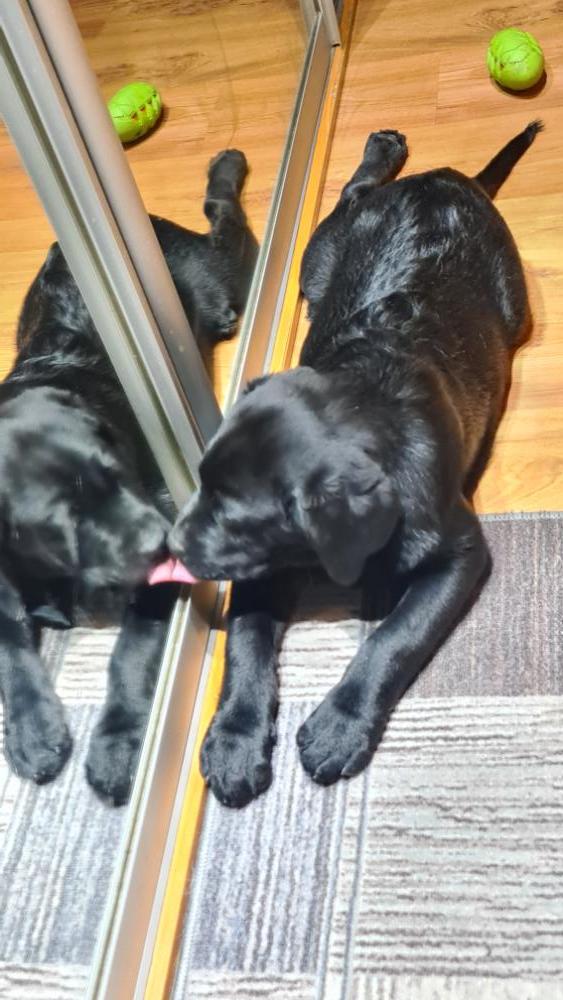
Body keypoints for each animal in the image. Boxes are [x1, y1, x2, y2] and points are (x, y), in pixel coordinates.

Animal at [0, 150, 257, 805]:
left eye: (116, 470)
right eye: (62, 522)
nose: (166, 541)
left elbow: (130, 655)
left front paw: (116, 749)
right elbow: (9, 641)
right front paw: (33, 731)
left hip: (216, 275)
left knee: (225, 220)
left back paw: (227, 165)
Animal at [169, 123, 542, 807]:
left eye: (236, 517)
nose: (173, 548)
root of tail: (451, 179)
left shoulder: (461, 552)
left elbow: (396, 638)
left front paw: (338, 728)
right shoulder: (261, 572)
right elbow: (246, 642)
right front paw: (234, 740)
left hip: (516, 306)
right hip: (317, 265)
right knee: (350, 194)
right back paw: (382, 151)